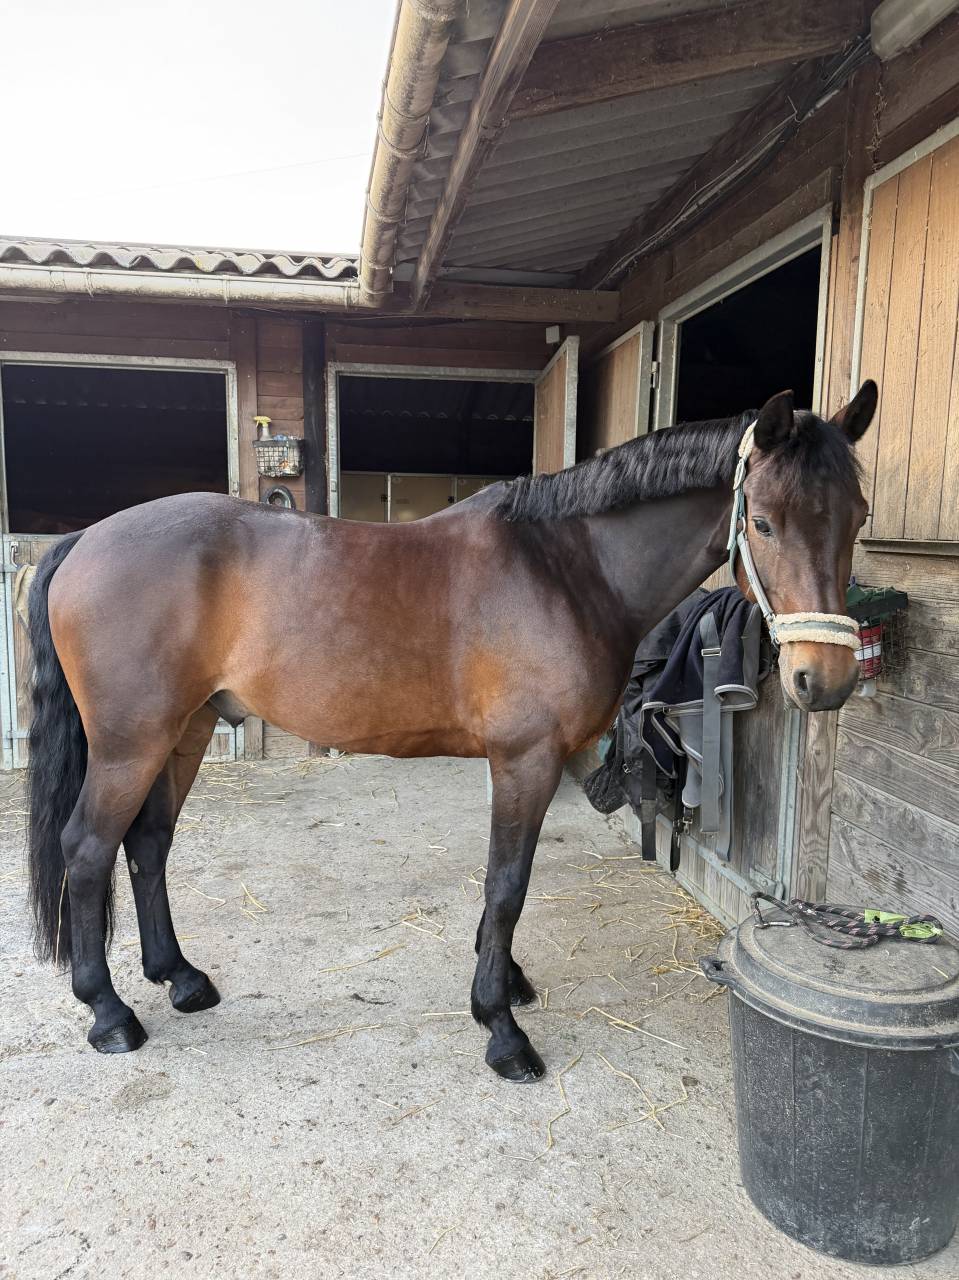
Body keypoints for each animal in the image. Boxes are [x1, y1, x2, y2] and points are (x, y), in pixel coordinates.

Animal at [26, 383, 877, 1082]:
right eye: (761, 521)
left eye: (858, 517)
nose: (825, 679)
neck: (567, 566)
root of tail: (85, 540)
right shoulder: (525, 759)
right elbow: (506, 885)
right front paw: (500, 1026)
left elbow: (505, 886)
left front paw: (508, 985)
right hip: (132, 743)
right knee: (90, 850)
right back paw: (109, 1014)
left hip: (187, 730)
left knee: (148, 845)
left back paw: (180, 977)